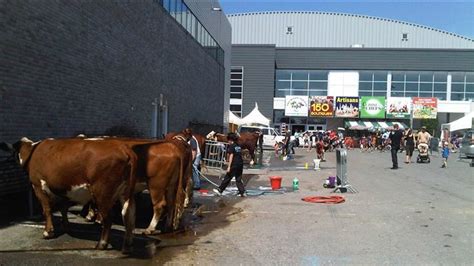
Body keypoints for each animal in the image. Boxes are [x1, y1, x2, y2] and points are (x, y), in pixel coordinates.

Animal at [0, 137, 139, 254]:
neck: (33, 151)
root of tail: (123, 147)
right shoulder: (62, 189)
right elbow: (63, 208)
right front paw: (66, 226)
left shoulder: (39, 186)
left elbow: (47, 210)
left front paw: (48, 232)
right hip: (126, 192)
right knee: (129, 215)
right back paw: (128, 245)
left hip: (103, 193)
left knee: (109, 218)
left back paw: (101, 244)